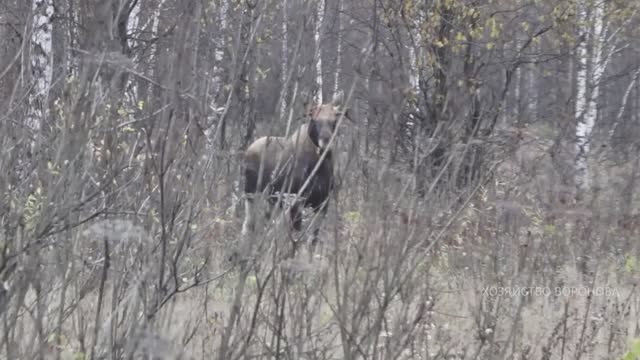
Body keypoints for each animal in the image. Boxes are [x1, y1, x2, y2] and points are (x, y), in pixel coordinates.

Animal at [241, 92, 350, 253]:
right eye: (314, 120)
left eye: (334, 120)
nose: (326, 142)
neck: (318, 166)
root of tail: (249, 149)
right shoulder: (297, 201)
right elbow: (296, 238)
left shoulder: (322, 204)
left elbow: (312, 240)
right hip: (251, 193)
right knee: (249, 224)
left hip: (272, 199)